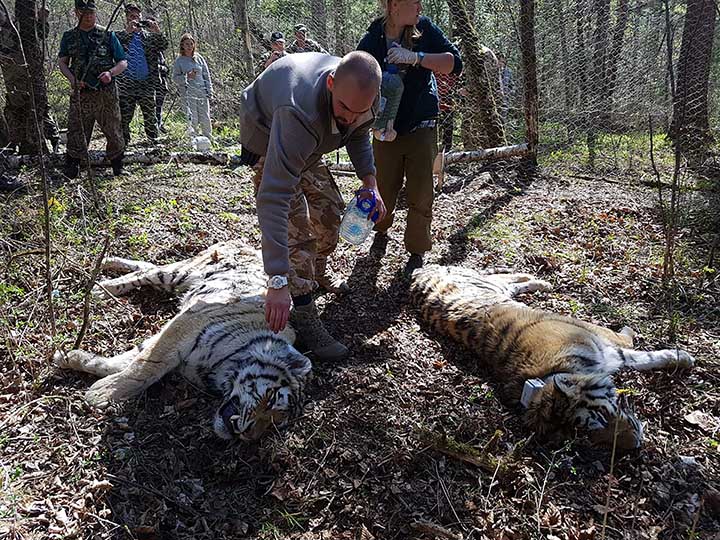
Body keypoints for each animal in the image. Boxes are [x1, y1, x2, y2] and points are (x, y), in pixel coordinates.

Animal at [54, 240, 314, 438]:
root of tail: (244, 243)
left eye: (275, 424)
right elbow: (144, 368)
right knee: (145, 272)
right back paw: (102, 287)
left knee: (145, 266)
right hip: (177, 275)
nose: (247, 436)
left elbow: (124, 361)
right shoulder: (187, 324)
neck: (221, 370)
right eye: (271, 399)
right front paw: (101, 394)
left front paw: (70, 358)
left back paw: (108, 262)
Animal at [408, 264, 696, 450]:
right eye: (592, 436)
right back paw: (540, 281)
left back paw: (538, 280)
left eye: (602, 416)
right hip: (493, 287)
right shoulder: (607, 349)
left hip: (487, 282)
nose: (635, 446)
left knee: (504, 275)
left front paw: (681, 356)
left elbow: (635, 347)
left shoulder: (598, 337)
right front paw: (682, 357)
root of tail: (417, 273)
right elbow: (641, 356)